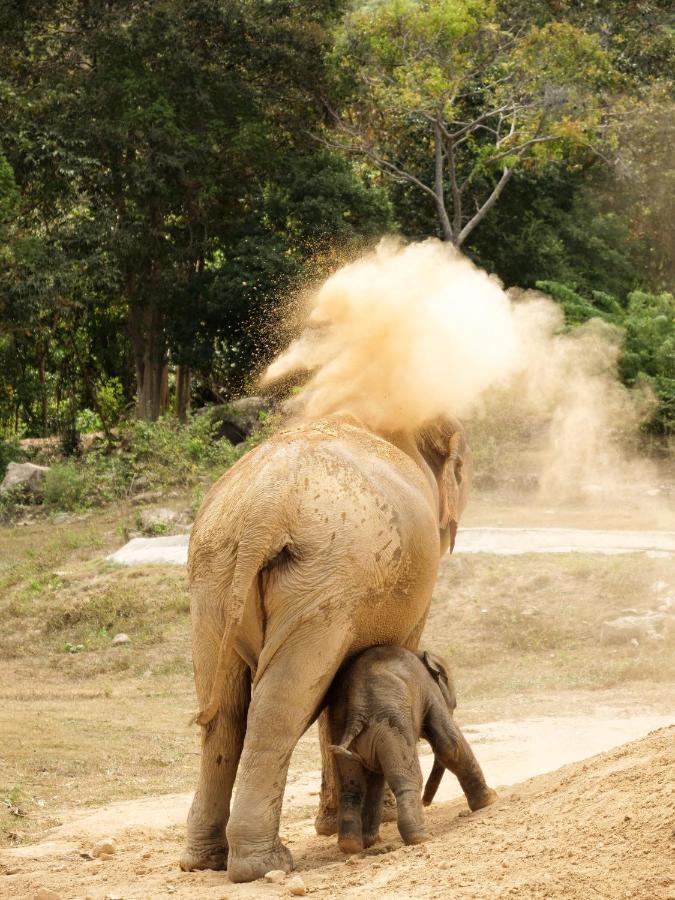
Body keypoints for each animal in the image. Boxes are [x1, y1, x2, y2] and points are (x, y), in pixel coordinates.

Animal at [180, 412, 472, 884]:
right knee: (278, 710)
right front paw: (377, 822)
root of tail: (263, 510)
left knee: (224, 713)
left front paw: (339, 828)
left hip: (213, 578)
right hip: (323, 580)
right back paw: (264, 865)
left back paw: (205, 861)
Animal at [328, 648, 496, 852]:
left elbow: (375, 778)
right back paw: (420, 838)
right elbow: (449, 744)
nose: (426, 802)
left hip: (340, 729)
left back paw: (351, 846)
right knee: (408, 777)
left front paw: (370, 841)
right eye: (454, 705)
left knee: (352, 785)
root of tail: (357, 712)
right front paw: (490, 800)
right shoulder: (429, 690)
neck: (421, 654)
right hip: (392, 725)